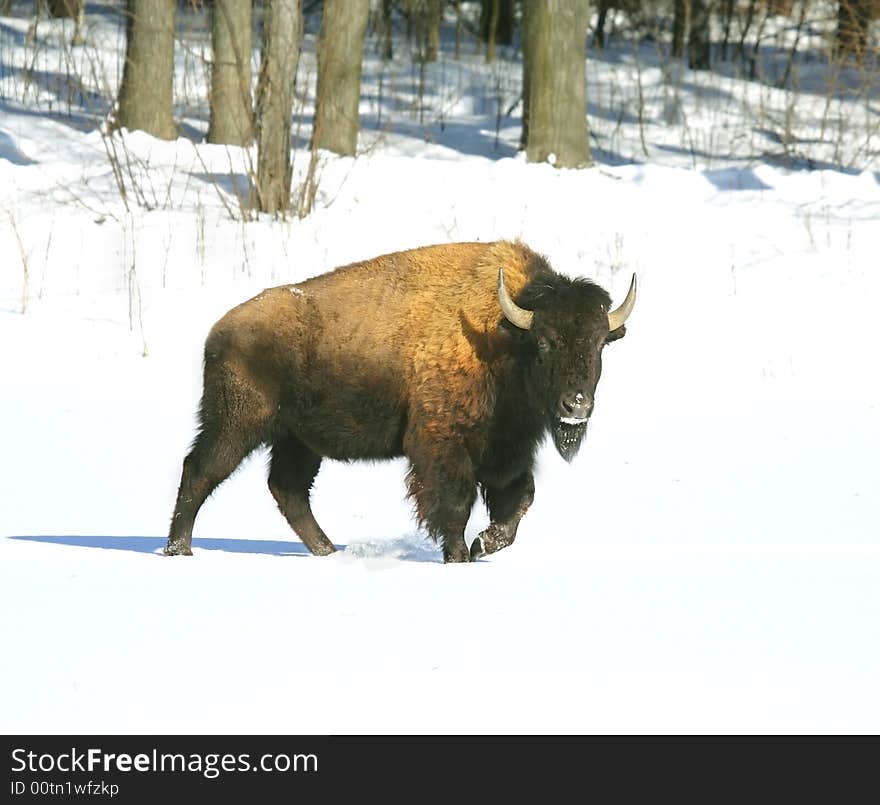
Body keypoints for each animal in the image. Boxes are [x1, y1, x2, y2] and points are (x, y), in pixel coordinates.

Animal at [165, 242, 636, 564]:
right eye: (544, 342)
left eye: (598, 344)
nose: (576, 406)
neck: (502, 335)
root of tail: (219, 331)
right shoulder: (443, 447)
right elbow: (455, 505)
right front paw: (460, 556)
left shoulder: (507, 450)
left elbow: (520, 499)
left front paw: (484, 544)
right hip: (238, 423)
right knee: (200, 471)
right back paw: (179, 551)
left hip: (298, 440)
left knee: (288, 489)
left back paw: (328, 551)